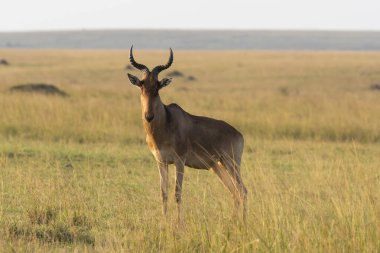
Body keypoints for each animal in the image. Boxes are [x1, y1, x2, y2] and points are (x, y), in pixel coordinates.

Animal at [126, 46, 248, 221]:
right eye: (142, 85)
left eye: (157, 87)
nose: (149, 116)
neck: (167, 121)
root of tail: (238, 134)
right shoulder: (161, 162)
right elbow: (163, 193)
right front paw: (164, 221)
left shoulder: (180, 161)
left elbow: (177, 193)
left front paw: (179, 223)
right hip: (218, 166)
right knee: (234, 192)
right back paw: (233, 221)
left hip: (232, 163)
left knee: (242, 191)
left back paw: (243, 222)